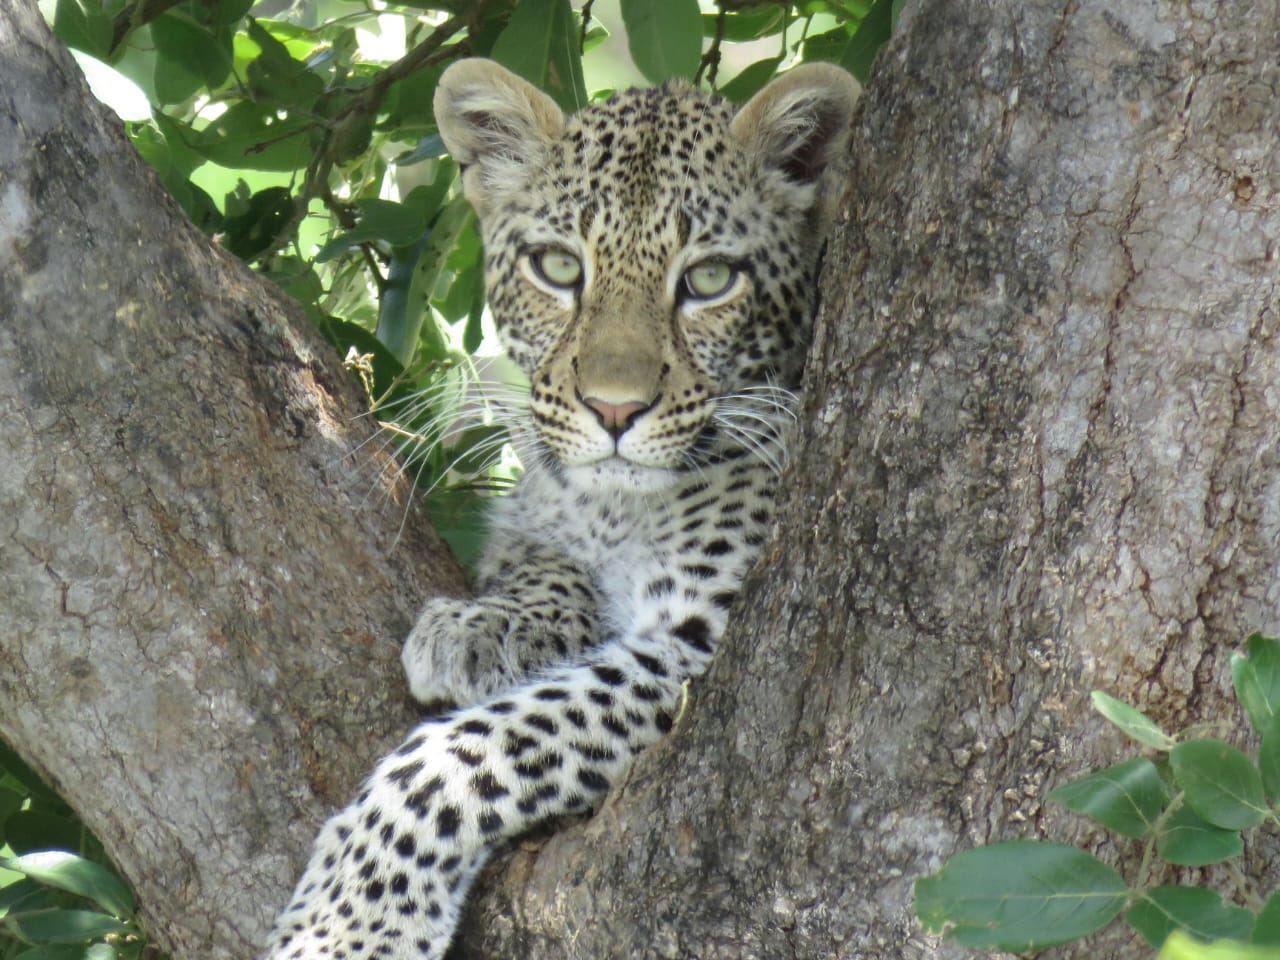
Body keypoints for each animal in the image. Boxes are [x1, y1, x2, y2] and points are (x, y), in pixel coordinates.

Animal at [263, 57, 859, 960]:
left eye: (709, 279)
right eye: (557, 268)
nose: (614, 411)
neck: (617, 510)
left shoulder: (695, 646)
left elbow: (476, 752)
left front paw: (347, 924)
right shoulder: (540, 516)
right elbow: (540, 558)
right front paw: (492, 625)